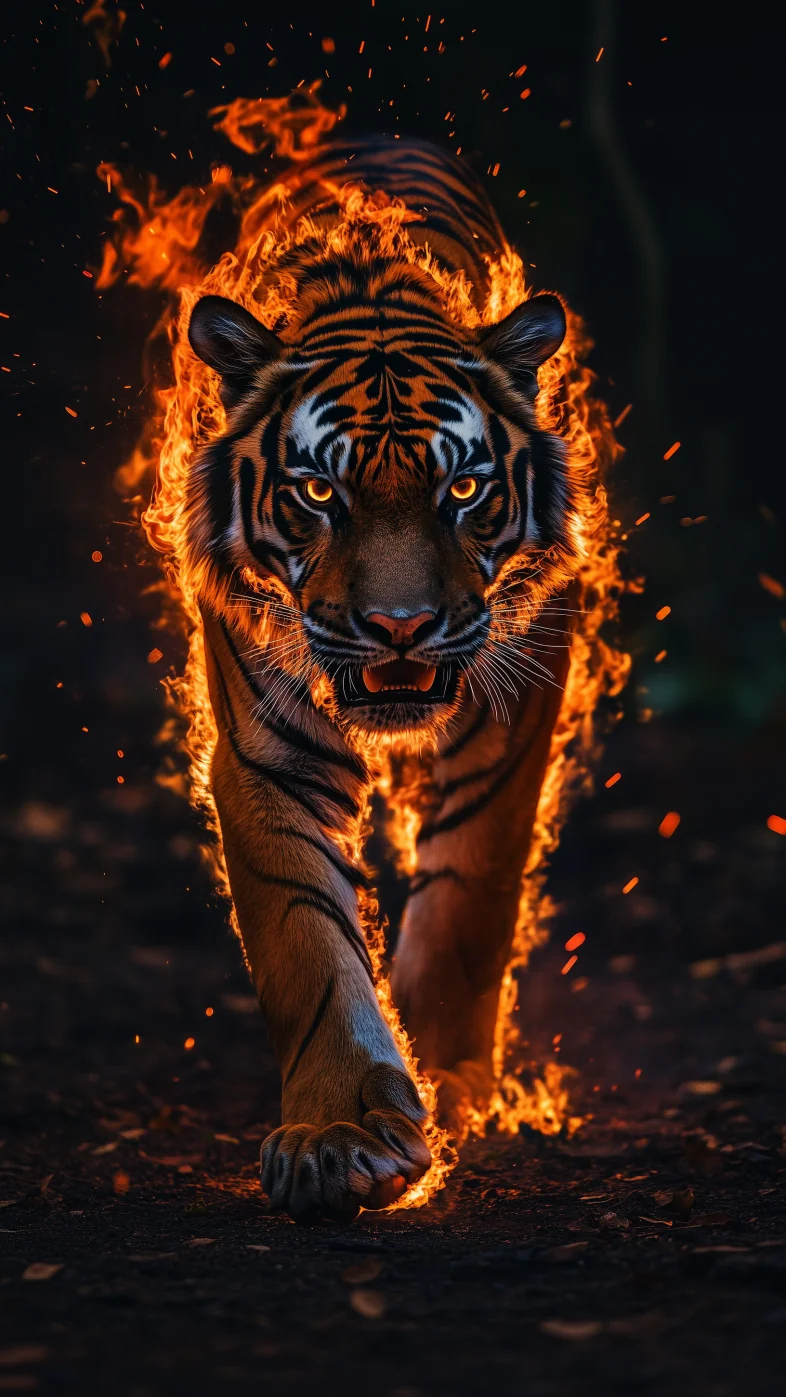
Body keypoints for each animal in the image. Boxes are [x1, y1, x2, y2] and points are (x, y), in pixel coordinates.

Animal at [182, 134, 594, 1223]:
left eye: (465, 487)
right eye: (319, 491)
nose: (400, 628)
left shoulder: (518, 695)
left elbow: (471, 895)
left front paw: (450, 1083)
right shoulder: (265, 749)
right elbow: (304, 939)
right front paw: (341, 1136)